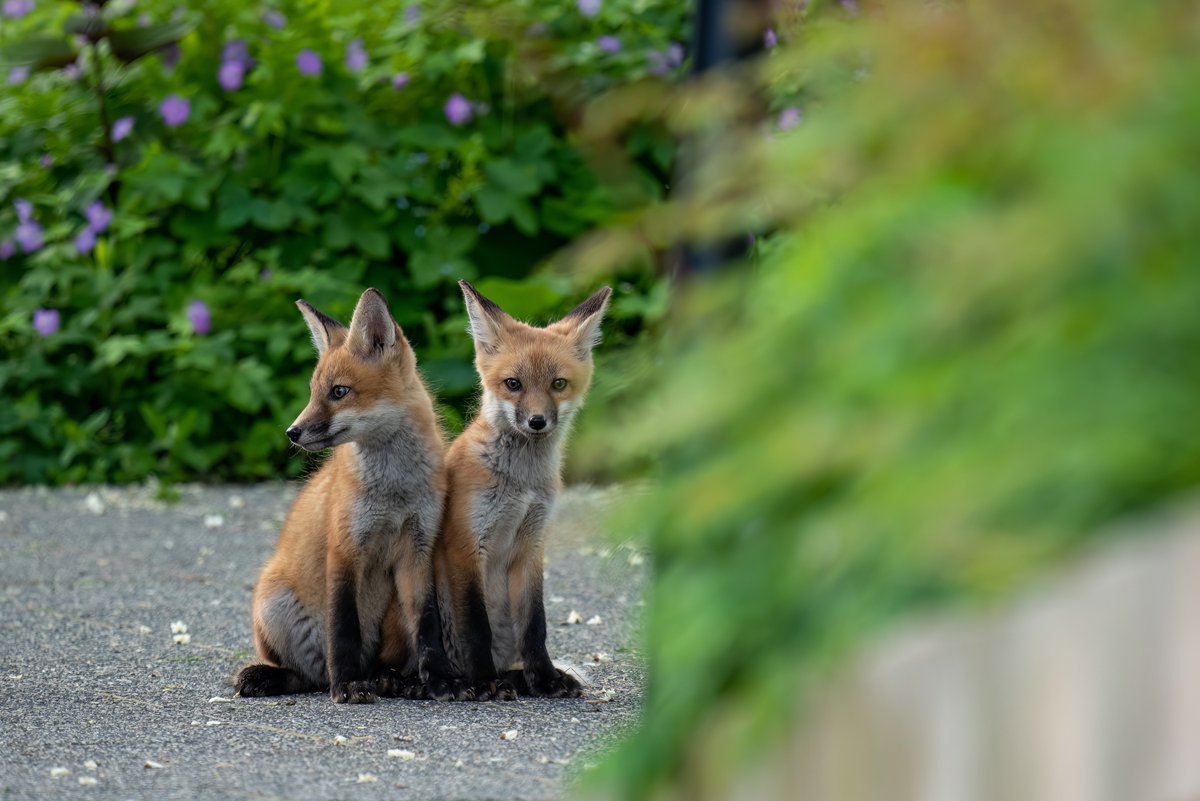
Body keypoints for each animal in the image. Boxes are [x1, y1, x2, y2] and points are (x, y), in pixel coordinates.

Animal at [234, 288, 462, 703]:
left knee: (378, 662)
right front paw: (347, 685)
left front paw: (439, 679)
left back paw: (391, 678)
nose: (292, 432)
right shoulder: (344, 547)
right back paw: (280, 677)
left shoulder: (419, 550)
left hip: (393, 614)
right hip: (273, 605)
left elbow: (429, 629)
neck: (394, 491)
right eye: (312, 393)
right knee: (306, 676)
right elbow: (342, 629)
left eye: (339, 392)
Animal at [432, 280, 611, 699]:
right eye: (513, 384)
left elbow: (535, 624)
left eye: (558, 384)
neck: (521, 485)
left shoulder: (532, 543)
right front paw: (484, 682)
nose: (537, 421)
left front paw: (543, 677)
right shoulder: (466, 544)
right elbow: (476, 626)